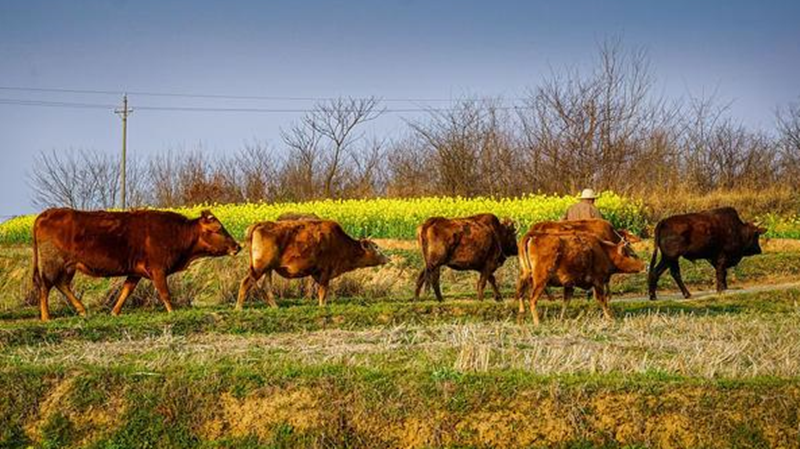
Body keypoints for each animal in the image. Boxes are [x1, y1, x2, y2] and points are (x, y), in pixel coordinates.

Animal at [30, 208, 241, 320]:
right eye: (218, 229)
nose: (237, 246)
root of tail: (46, 213)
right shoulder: (158, 269)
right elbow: (165, 293)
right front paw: (172, 312)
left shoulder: (136, 272)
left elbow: (126, 290)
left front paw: (115, 311)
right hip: (52, 264)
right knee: (45, 286)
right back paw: (46, 317)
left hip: (68, 267)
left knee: (62, 284)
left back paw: (81, 309)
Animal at [236, 218, 390, 308]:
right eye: (376, 247)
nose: (388, 258)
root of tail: (260, 224)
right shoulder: (325, 271)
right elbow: (323, 291)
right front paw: (323, 306)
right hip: (259, 268)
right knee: (245, 282)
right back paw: (239, 308)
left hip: (268, 268)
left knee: (266, 287)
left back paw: (275, 307)